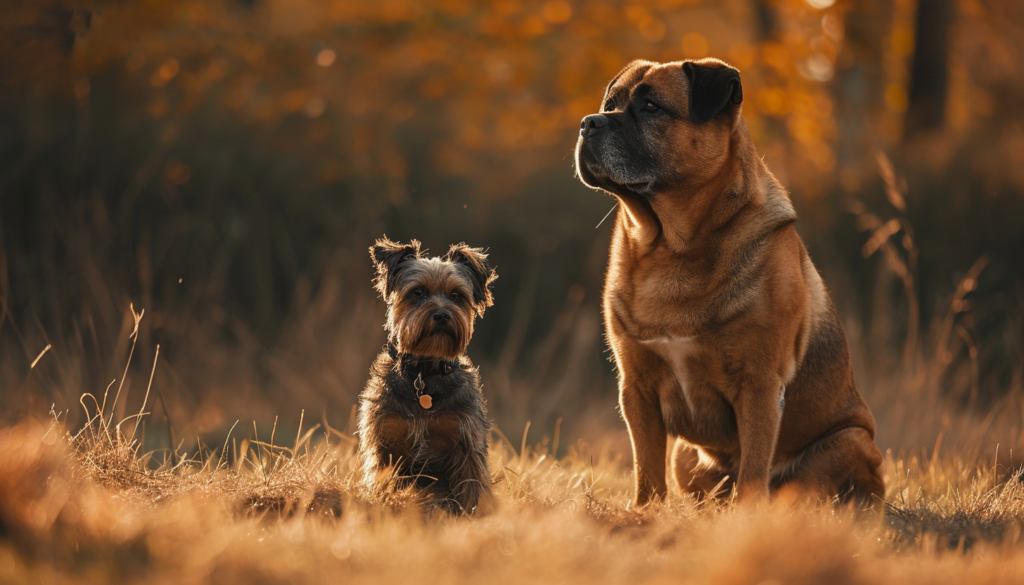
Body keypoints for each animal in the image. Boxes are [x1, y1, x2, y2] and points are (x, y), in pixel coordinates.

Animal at [358, 236, 497, 512]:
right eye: (418, 292)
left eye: (456, 295)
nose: (442, 314)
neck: (424, 374)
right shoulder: (386, 440)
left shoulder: (466, 441)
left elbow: (471, 488)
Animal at [573, 60, 884, 508]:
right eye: (609, 105)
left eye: (651, 107)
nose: (588, 123)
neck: (671, 248)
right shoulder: (636, 387)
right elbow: (646, 467)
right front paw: (645, 511)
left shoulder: (759, 384)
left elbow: (754, 465)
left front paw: (747, 514)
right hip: (685, 455)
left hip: (851, 441)